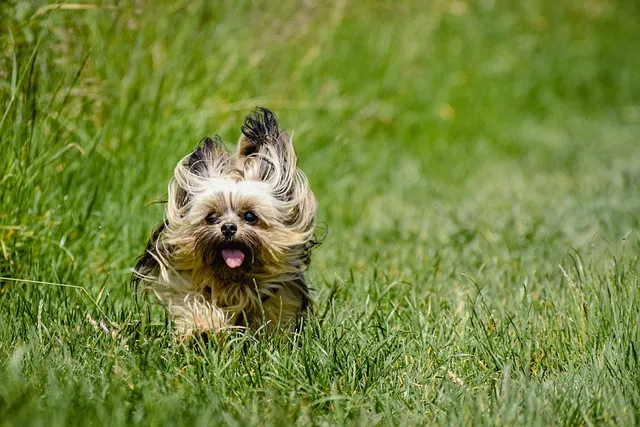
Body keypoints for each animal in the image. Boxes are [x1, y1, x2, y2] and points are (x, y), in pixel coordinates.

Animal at [132, 108, 318, 338]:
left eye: (250, 216)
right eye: (211, 217)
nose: (228, 227)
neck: (233, 280)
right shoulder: (185, 281)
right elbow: (194, 303)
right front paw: (203, 330)